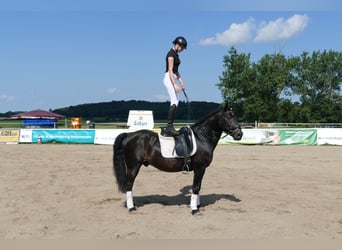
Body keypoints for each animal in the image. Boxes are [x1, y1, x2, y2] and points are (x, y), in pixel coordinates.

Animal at [113, 103, 242, 213]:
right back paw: (131, 207)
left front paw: (197, 205)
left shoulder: (201, 169)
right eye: (229, 116)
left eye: (235, 116)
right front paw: (194, 209)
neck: (202, 138)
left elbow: (198, 186)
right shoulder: (199, 168)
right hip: (133, 166)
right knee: (129, 184)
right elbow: (196, 187)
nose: (239, 134)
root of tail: (129, 135)